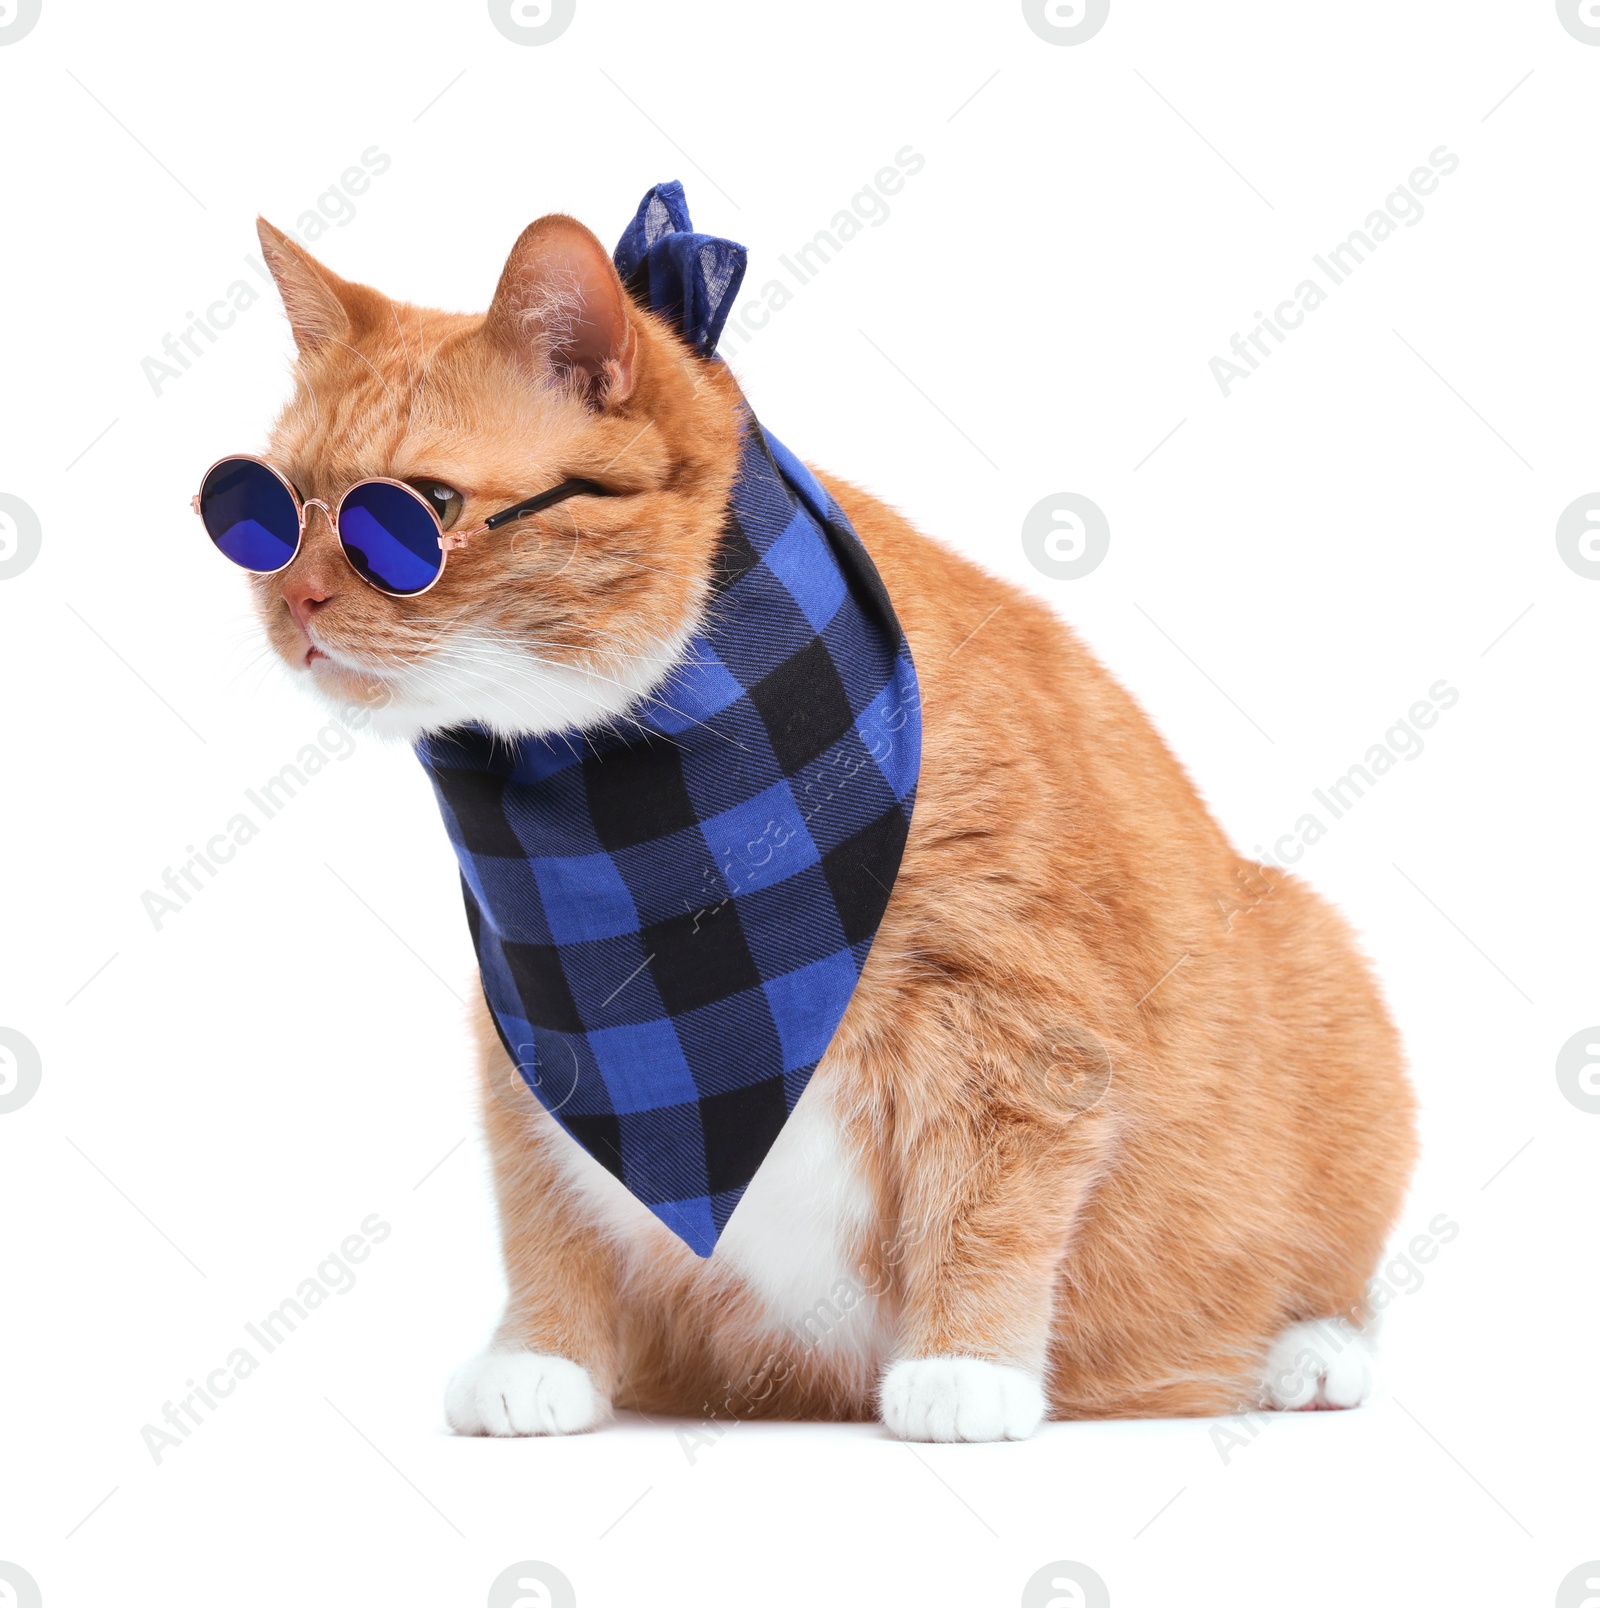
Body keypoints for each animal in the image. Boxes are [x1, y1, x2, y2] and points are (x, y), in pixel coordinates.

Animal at [237, 204, 1415, 1447]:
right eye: (268, 511)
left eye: (420, 515)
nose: (295, 599)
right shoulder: (535, 1035)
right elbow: (545, 1206)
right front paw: (541, 1351)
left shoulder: (1012, 1018)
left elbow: (987, 1202)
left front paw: (968, 1364)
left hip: (1320, 963)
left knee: (1334, 1283)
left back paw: (1306, 1355)